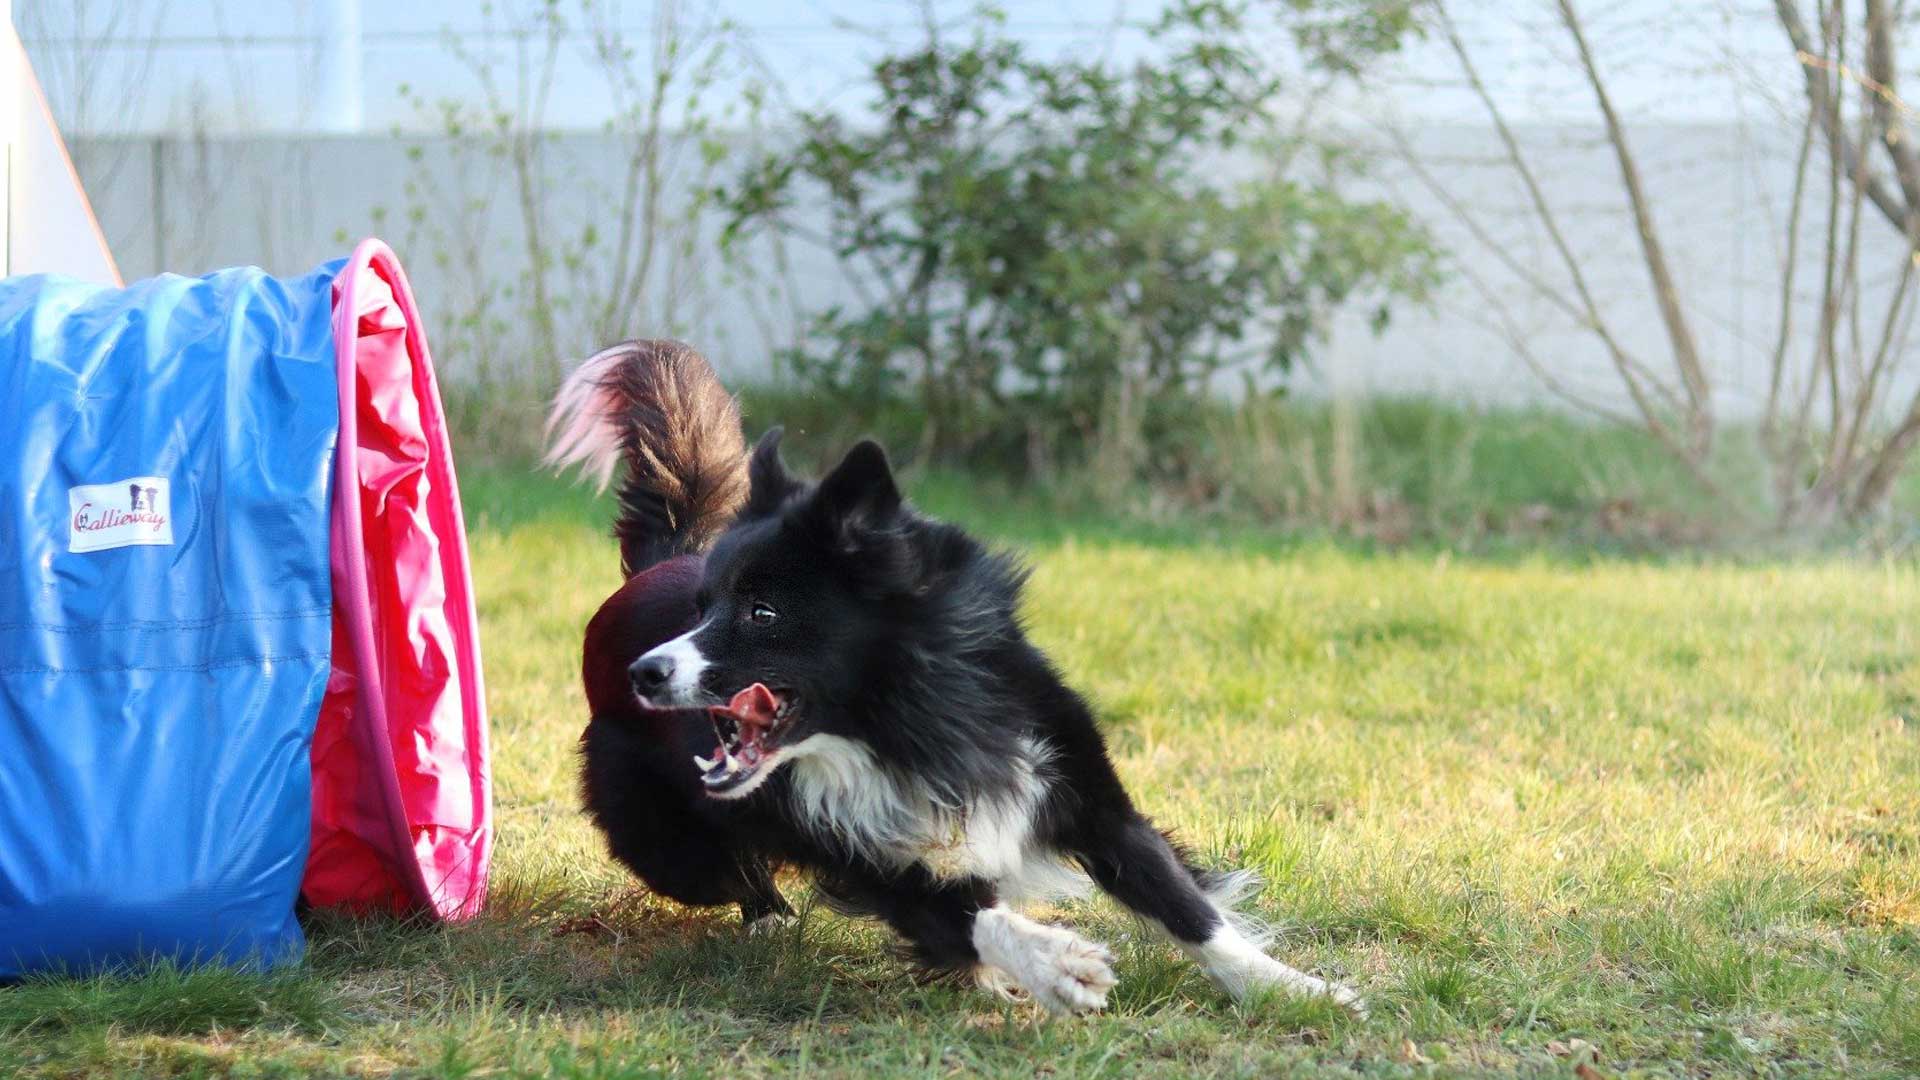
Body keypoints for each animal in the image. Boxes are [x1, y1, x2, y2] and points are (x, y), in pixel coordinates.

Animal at [545, 340, 1367, 1014]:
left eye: (761, 611)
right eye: (703, 607)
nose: (647, 673)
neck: (906, 720)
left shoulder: (1081, 786)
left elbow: (1185, 904)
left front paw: (1297, 990)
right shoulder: (862, 856)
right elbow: (965, 915)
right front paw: (1054, 964)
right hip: (671, 839)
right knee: (723, 872)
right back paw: (774, 923)